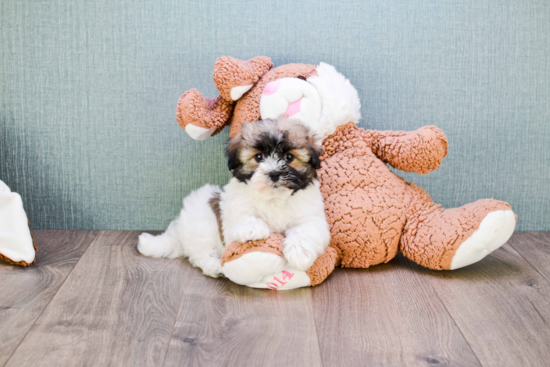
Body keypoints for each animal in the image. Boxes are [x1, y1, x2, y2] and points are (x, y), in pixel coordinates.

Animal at [138, 118, 332, 278]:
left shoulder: (311, 217)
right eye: (259, 157)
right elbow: (244, 217)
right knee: (200, 254)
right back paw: (214, 266)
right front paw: (254, 229)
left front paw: (299, 253)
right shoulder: (235, 210)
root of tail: (178, 231)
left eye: (289, 157)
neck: (274, 198)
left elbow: (305, 231)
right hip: (201, 227)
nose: (274, 173)